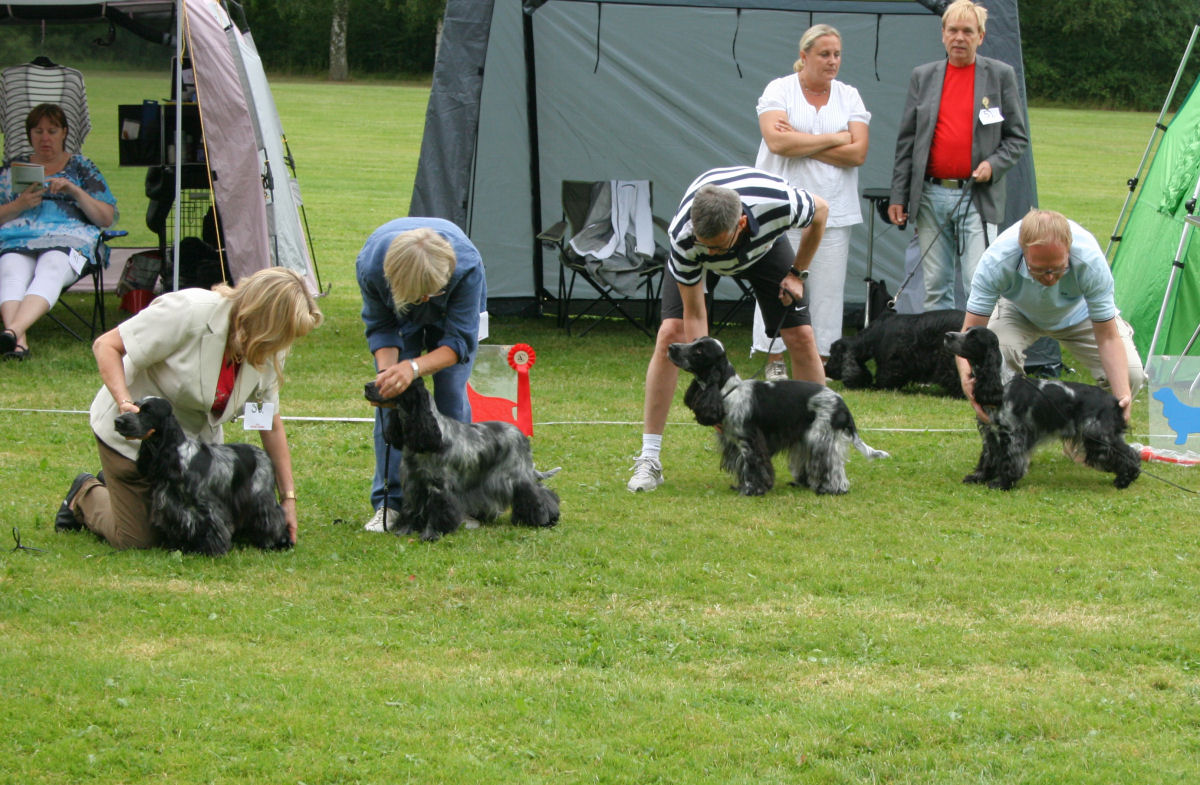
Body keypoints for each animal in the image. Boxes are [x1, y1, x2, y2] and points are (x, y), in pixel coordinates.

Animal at [113, 396, 291, 556]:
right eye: (133, 406)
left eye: (147, 411)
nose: (118, 421)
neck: (178, 456)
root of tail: (263, 453)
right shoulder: (172, 507)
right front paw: (180, 547)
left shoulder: (207, 506)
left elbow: (213, 527)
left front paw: (213, 550)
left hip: (260, 495)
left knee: (274, 517)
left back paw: (280, 542)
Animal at [362, 379, 559, 544]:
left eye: (389, 380)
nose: (366, 386)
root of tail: (521, 434)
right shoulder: (413, 484)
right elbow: (411, 510)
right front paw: (404, 531)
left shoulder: (439, 487)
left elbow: (437, 511)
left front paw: (430, 534)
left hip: (516, 476)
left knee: (538, 494)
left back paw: (545, 519)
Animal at [940, 326, 1137, 492]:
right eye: (966, 330)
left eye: (973, 337)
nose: (948, 335)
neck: (1002, 383)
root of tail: (1113, 400)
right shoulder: (991, 433)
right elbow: (988, 457)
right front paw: (978, 477)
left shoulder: (1013, 434)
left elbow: (1011, 460)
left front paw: (1003, 482)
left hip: (1098, 436)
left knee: (1129, 454)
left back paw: (1124, 480)